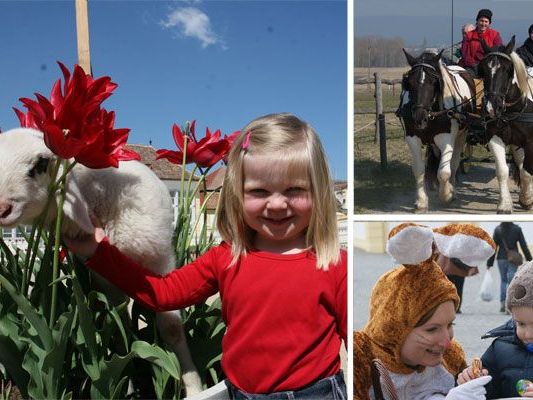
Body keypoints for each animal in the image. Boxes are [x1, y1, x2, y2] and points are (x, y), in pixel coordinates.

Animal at [0, 127, 203, 394]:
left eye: (41, 164)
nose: (2, 208)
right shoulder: (106, 276)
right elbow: (116, 327)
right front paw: (126, 381)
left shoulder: (161, 262)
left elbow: (171, 329)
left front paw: (195, 387)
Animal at [400, 49, 474, 212]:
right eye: (409, 83)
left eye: (433, 82)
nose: (419, 118)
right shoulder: (412, 139)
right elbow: (419, 170)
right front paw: (421, 201)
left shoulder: (447, 140)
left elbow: (444, 172)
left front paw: (447, 194)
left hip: (461, 135)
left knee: (454, 163)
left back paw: (453, 189)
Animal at [476, 36, 532, 212]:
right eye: (483, 70)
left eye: (508, 70)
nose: (492, 107)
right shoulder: (495, 137)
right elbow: (502, 171)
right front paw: (505, 204)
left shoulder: (531, 142)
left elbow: (527, 172)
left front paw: (527, 199)